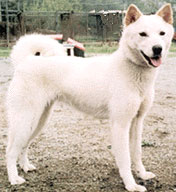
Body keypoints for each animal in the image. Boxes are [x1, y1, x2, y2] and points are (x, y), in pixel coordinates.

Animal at [6, 3, 173, 191]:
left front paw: (142, 174)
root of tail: (25, 61)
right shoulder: (120, 124)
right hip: (25, 120)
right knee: (10, 151)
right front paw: (131, 185)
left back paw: (26, 167)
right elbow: (125, 158)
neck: (134, 73)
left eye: (162, 33)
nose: (157, 49)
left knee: (24, 145)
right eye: (143, 34)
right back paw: (14, 178)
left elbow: (136, 153)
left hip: (38, 121)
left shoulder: (137, 122)